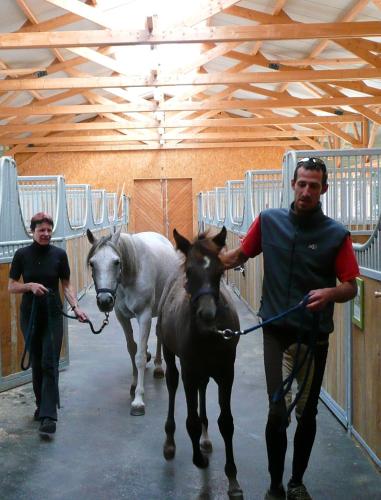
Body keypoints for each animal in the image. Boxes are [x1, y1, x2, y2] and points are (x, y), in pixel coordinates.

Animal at [87, 229, 179, 416]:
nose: (105, 301)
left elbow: (140, 356)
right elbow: (132, 349)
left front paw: (138, 400)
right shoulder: (122, 317)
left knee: (159, 334)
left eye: (116, 262)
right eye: (92, 263)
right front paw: (134, 384)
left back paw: (159, 367)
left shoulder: (144, 316)